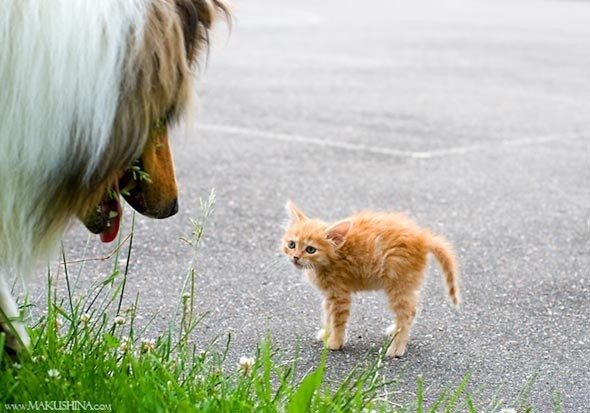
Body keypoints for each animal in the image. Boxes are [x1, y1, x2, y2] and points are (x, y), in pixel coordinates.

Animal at [284, 201, 462, 356]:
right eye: (291, 244)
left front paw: (335, 342)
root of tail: (422, 237)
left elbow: (338, 320)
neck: (332, 258)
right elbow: (328, 315)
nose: (295, 257)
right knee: (413, 309)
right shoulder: (330, 295)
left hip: (398, 284)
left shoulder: (340, 295)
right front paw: (327, 334)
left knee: (406, 314)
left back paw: (397, 348)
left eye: (310, 249)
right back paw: (394, 331)